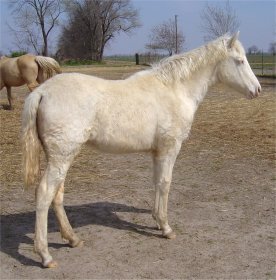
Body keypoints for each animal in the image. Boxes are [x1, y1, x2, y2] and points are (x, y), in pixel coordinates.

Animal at [21, 32, 260, 266]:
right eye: (239, 61)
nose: (256, 90)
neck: (175, 89)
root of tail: (42, 92)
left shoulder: (157, 152)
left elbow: (157, 182)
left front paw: (157, 221)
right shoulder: (169, 149)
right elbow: (165, 183)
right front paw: (166, 228)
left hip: (61, 157)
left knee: (57, 195)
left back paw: (72, 239)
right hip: (61, 157)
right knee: (45, 193)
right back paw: (45, 255)